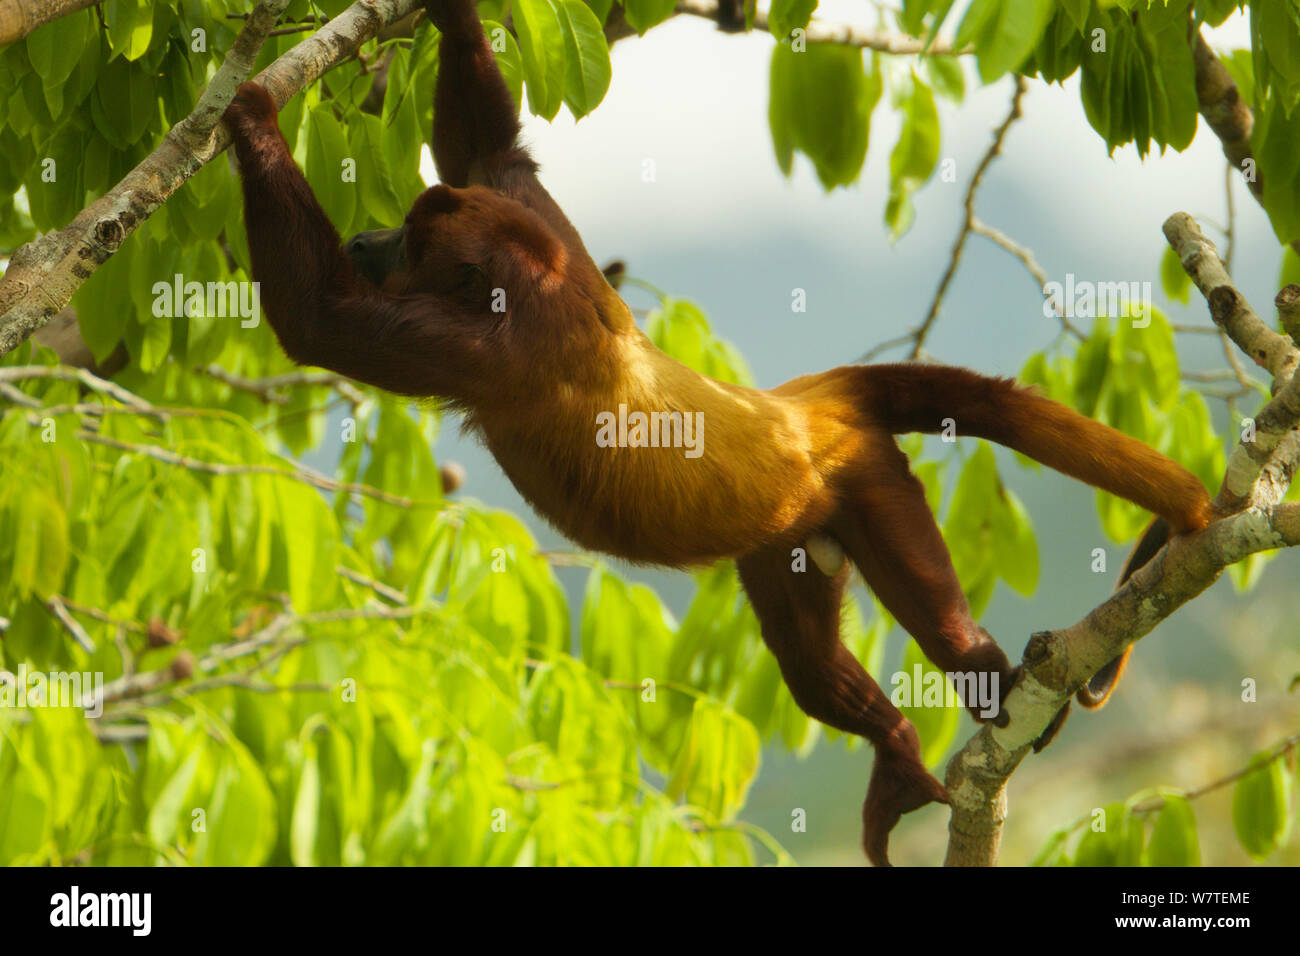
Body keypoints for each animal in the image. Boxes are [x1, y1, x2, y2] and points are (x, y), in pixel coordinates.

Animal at [220, 0, 1206, 868]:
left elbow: (321, 323)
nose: (369, 236)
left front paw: (249, 112)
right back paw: (892, 747)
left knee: (934, 624)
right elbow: (492, 147)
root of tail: (805, 405)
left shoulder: (491, 353)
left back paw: (990, 673)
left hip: (866, 478)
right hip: (790, 538)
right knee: (807, 664)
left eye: (405, 244)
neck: (533, 288)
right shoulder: (544, 234)